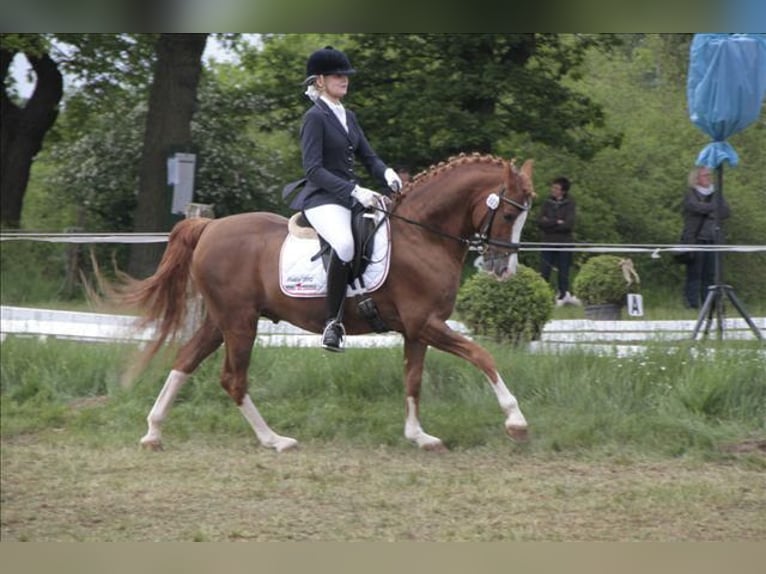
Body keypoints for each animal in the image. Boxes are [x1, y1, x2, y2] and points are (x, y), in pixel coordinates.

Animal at [123, 153, 535, 452]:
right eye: (509, 213)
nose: (504, 270)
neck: (423, 236)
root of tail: (210, 226)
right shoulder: (426, 324)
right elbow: (482, 355)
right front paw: (516, 422)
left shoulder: (417, 330)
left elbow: (413, 379)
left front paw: (419, 436)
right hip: (240, 323)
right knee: (233, 379)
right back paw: (275, 440)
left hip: (221, 320)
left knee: (185, 361)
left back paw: (153, 432)